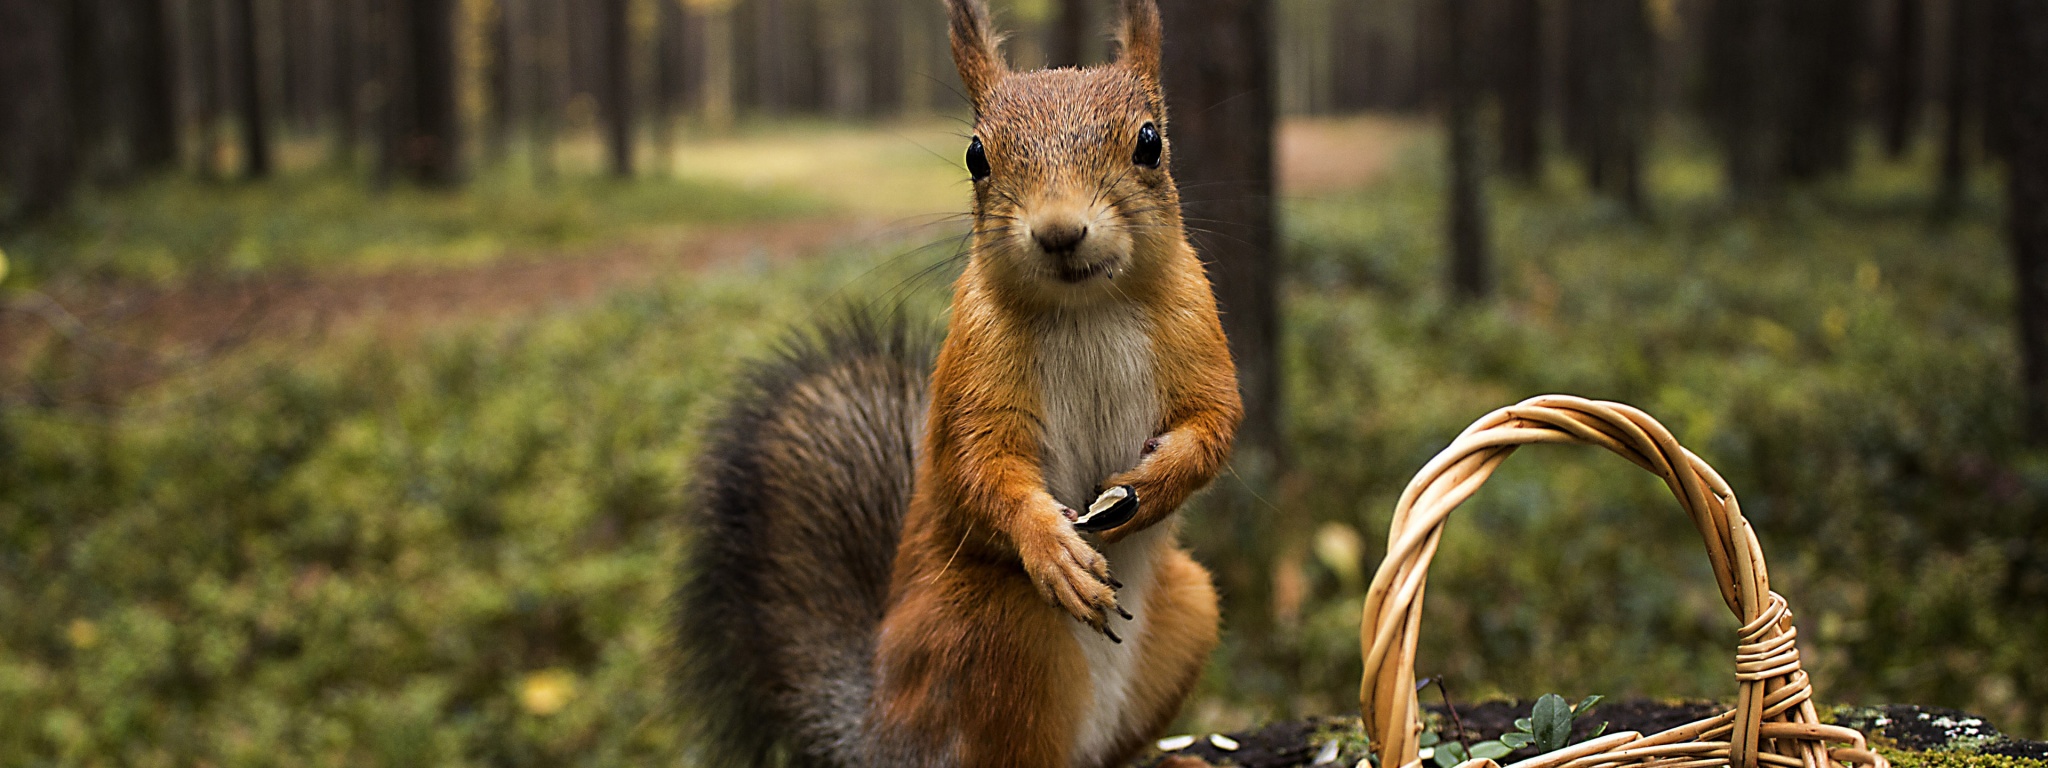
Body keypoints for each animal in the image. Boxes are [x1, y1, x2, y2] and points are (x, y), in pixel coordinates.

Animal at [675, 0, 1245, 765]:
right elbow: (978, 468)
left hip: (1190, 606)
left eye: (1150, 142)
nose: (1059, 231)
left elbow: (1214, 425)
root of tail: (881, 728)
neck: (1087, 307)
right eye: (977, 156)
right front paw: (1050, 546)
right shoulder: (974, 367)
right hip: (994, 630)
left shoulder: (1197, 329)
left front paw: (1151, 487)